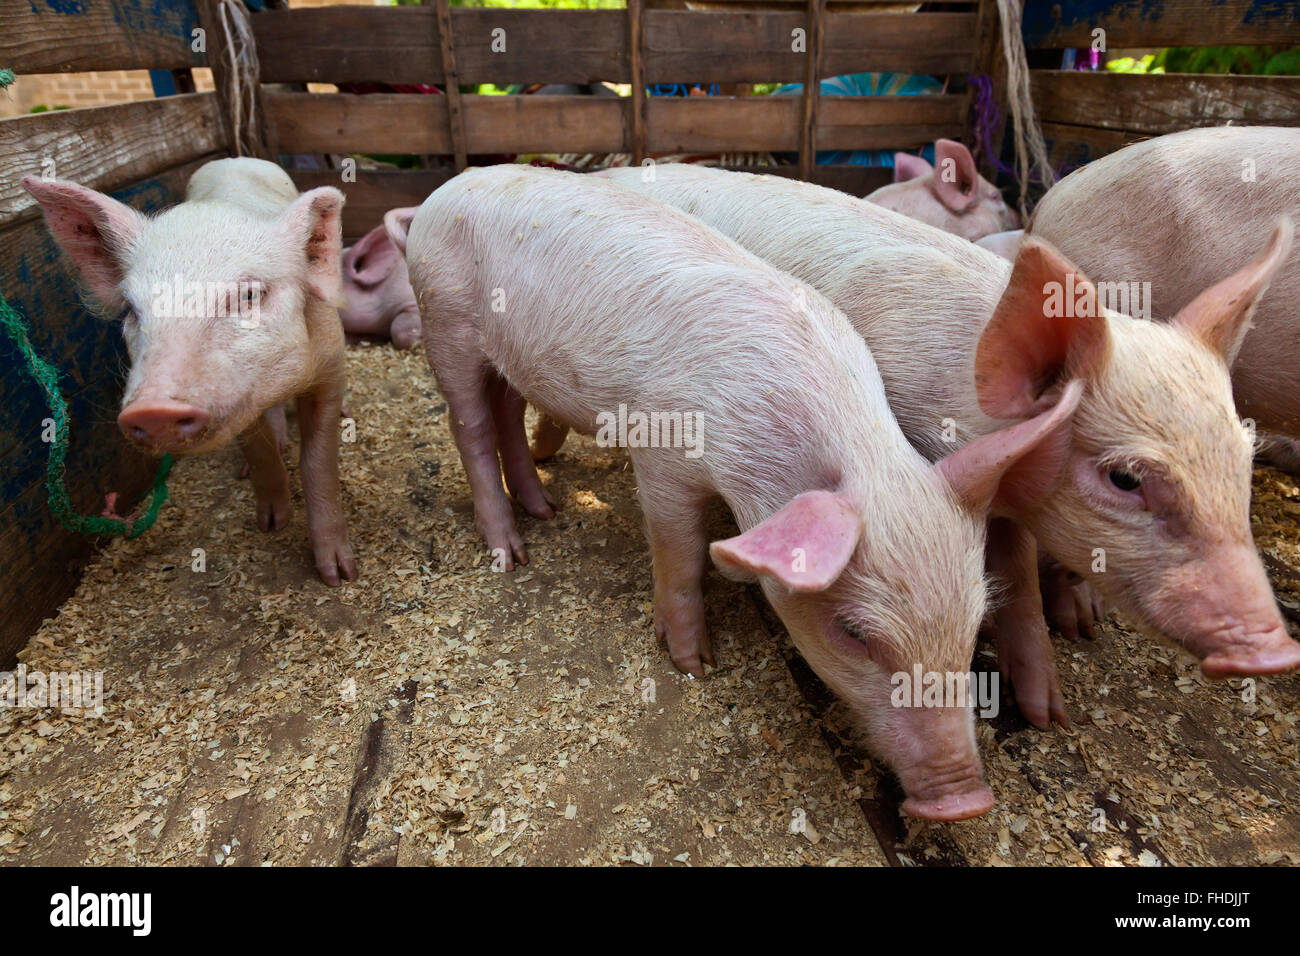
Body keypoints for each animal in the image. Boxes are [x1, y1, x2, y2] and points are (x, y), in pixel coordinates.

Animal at [22, 158, 357, 586]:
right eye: (132, 309)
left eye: (250, 294)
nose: (153, 408)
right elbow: (260, 447)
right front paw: (271, 523)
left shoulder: (330, 367)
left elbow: (318, 461)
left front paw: (339, 575)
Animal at [405, 164, 1082, 819]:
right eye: (855, 633)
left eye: (973, 625)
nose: (965, 801)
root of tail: (446, 189)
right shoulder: (662, 454)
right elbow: (679, 557)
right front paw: (694, 665)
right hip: (444, 319)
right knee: (469, 426)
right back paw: (511, 553)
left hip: (503, 356)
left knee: (507, 412)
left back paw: (545, 509)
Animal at [597, 163, 1300, 729]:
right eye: (1124, 478)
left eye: (1244, 456)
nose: (1277, 649)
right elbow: (1012, 576)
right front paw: (1048, 714)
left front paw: (1068, 672)